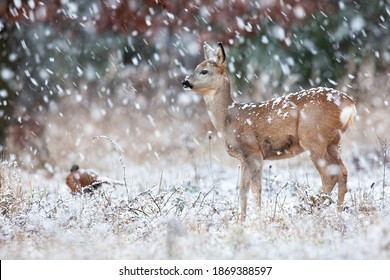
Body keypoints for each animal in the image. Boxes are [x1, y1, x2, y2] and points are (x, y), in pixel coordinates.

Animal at [182, 42, 356, 221]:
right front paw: (241, 221)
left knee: (329, 176)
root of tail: (350, 104)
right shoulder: (242, 158)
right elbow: (242, 191)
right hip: (333, 142)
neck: (228, 119)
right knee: (343, 172)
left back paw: (313, 212)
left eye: (204, 71)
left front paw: (259, 220)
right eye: (195, 67)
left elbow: (256, 190)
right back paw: (338, 213)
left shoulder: (253, 151)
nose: (185, 82)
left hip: (313, 139)